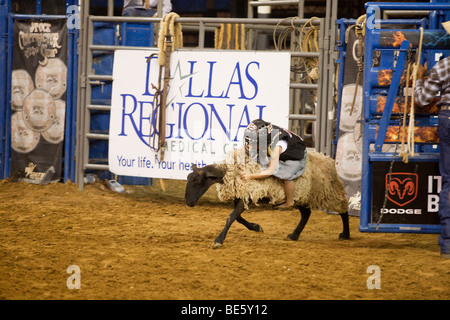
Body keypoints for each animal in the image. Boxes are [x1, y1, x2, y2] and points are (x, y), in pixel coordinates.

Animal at [185, 149, 350, 249]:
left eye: (197, 181)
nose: (188, 202)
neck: (232, 170)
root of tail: (328, 159)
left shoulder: (248, 195)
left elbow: (231, 217)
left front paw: (218, 240)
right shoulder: (241, 196)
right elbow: (237, 218)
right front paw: (256, 227)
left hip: (327, 192)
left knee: (343, 210)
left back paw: (346, 234)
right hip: (302, 194)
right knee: (306, 214)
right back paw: (294, 235)